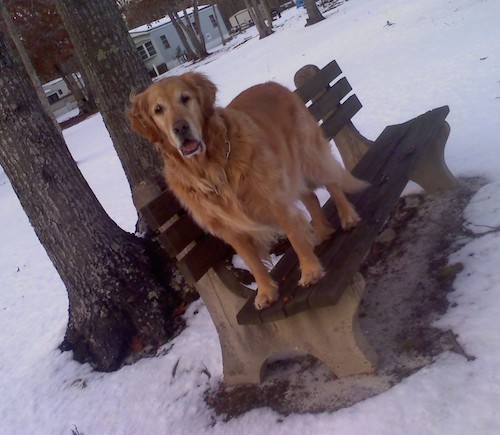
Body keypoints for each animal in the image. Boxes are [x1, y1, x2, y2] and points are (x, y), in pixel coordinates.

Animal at [127, 72, 366, 310]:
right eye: (158, 110)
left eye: (185, 98)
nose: (180, 128)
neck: (210, 168)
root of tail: (272, 84)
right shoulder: (230, 229)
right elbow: (253, 263)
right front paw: (266, 292)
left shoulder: (274, 200)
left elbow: (295, 237)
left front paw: (310, 271)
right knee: (311, 197)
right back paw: (322, 232)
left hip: (308, 155)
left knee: (332, 181)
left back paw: (347, 217)